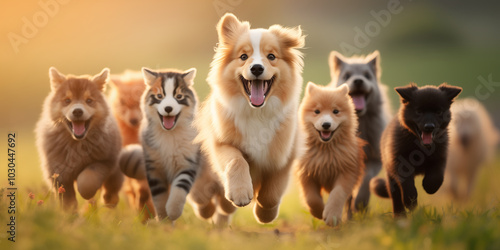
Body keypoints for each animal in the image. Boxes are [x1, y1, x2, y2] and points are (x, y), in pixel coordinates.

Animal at [36, 67, 123, 210]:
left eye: (89, 100)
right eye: (67, 100)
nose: (77, 111)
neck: (76, 143)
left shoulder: (105, 160)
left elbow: (88, 178)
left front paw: (87, 193)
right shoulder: (59, 173)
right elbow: (68, 201)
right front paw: (71, 213)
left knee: (111, 190)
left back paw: (109, 202)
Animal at [294, 82, 366, 227]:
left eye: (336, 111)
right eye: (317, 111)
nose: (326, 124)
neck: (325, 152)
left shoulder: (347, 172)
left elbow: (337, 193)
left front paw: (332, 215)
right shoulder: (306, 173)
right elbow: (311, 198)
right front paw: (319, 211)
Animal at [372, 83, 460, 216]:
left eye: (438, 111)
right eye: (418, 111)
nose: (429, 127)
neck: (421, 147)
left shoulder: (440, 157)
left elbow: (436, 177)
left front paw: (429, 186)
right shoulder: (400, 162)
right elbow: (407, 186)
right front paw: (411, 202)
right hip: (390, 175)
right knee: (396, 197)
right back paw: (400, 215)